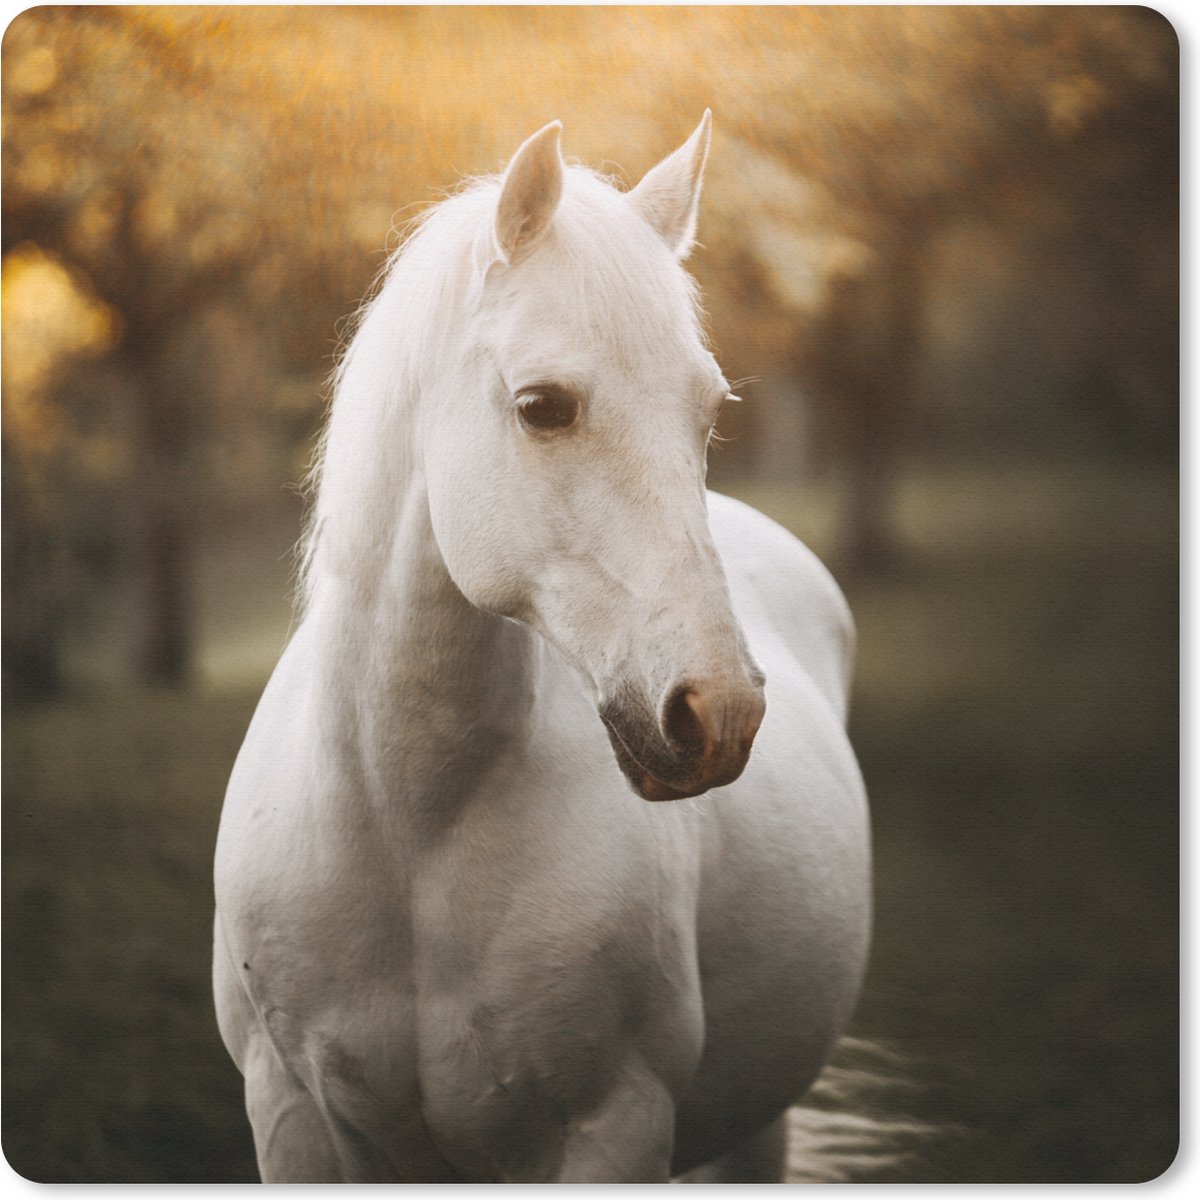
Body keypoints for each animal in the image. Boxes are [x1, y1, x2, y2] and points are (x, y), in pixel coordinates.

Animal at [213, 113, 871, 1184]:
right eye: (543, 407)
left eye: (708, 411)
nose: (721, 712)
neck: (410, 828)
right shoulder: (292, 1113)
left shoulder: (615, 1124)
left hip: (755, 1131)